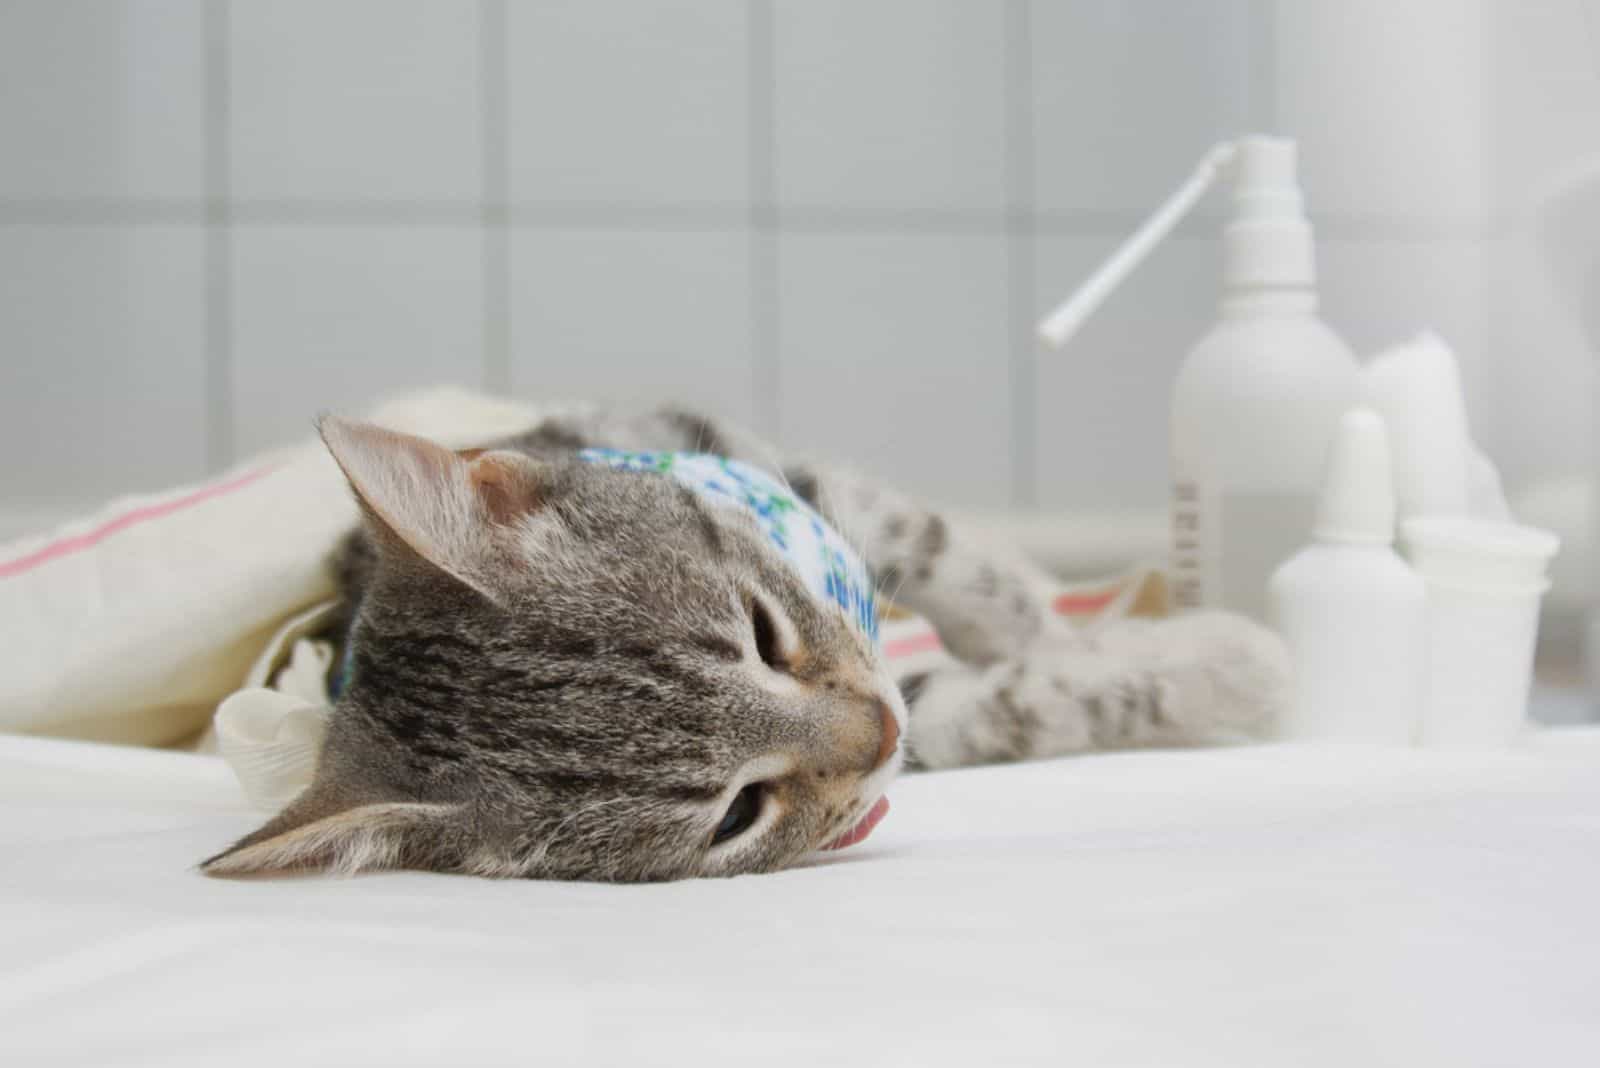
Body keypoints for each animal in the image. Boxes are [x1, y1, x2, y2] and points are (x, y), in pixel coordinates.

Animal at [200, 404, 1286, 882]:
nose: (878, 732)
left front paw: (1081, 629)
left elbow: (967, 570)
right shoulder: (914, 716)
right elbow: (1005, 701)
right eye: (735, 815)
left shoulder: (806, 486)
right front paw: (1218, 665)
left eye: (763, 633)